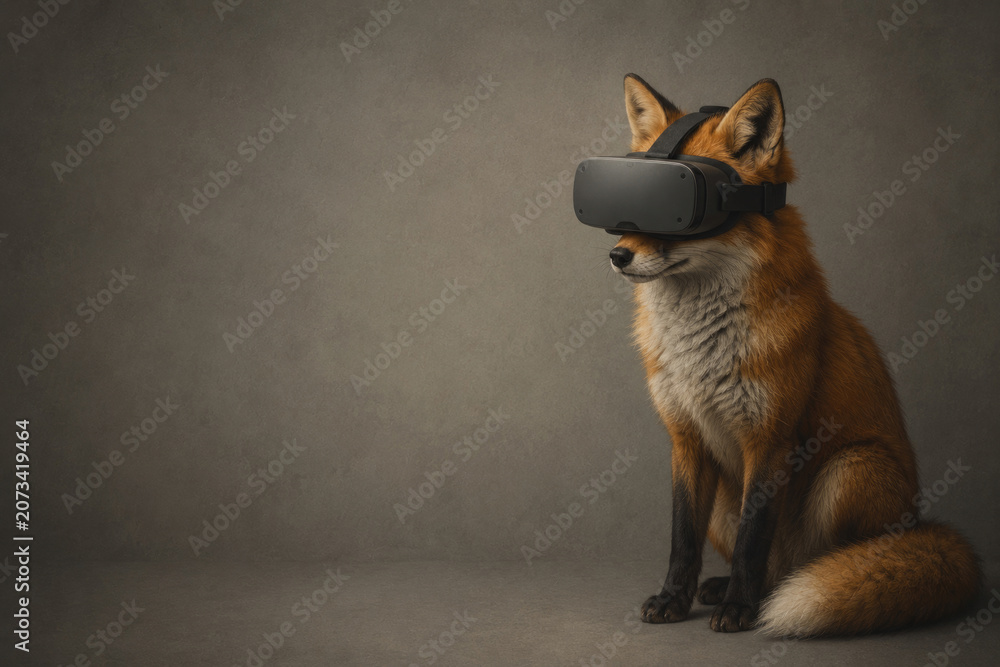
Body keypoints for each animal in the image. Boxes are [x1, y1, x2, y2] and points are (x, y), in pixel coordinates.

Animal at [606, 74, 981, 636]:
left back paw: (790, 590)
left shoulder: (770, 438)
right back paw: (735, 589)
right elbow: (682, 539)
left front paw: (740, 608)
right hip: (727, 498)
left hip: (848, 470)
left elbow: (752, 539)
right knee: (778, 565)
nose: (617, 255)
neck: (702, 351)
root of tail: (918, 525)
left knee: (829, 562)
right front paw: (674, 598)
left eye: (681, 209)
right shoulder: (686, 439)